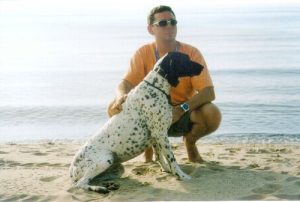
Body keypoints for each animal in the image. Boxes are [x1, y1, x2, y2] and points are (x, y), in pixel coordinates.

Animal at [69, 51, 204, 193]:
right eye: (186, 59)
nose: (202, 67)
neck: (156, 88)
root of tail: (71, 170)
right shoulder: (161, 134)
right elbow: (172, 159)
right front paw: (181, 175)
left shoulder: (156, 136)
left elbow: (160, 156)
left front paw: (167, 170)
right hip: (105, 159)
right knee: (81, 183)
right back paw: (99, 188)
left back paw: (109, 185)